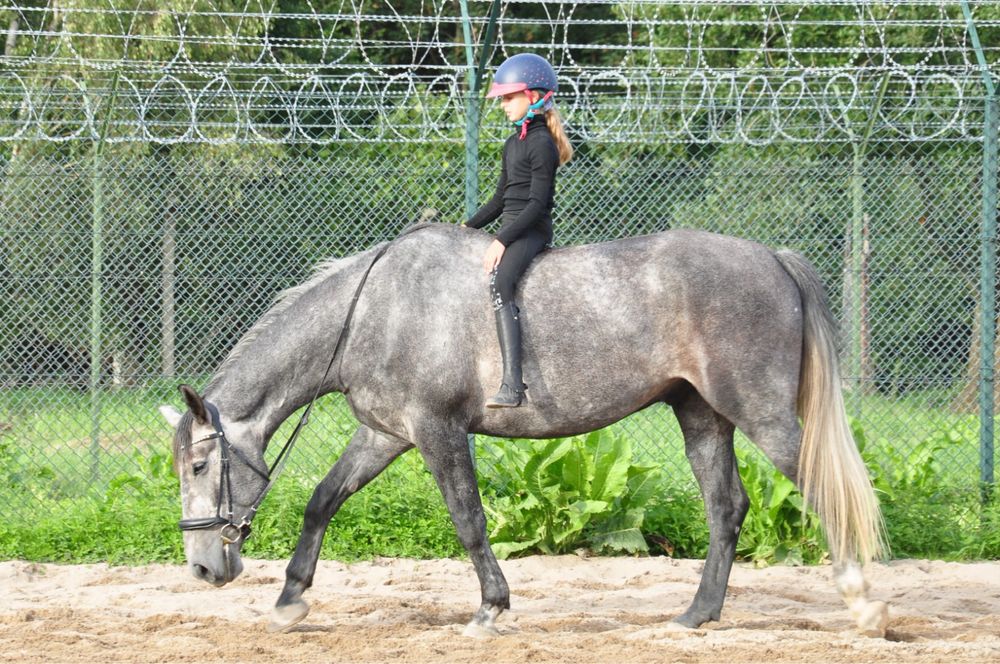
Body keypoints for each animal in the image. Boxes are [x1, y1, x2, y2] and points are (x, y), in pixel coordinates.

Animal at [160, 223, 888, 640]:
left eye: (198, 467)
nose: (201, 567)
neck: (374, 311)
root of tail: (773, 258)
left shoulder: (438, 432)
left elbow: (469, 520)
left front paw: (491, 608)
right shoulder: (385, 435)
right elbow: (322, 502)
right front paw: (289, 602)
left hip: (759, 412)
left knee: (820, 492)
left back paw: (865, 609)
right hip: (702, 415)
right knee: (726, 507)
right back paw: (696, 616)